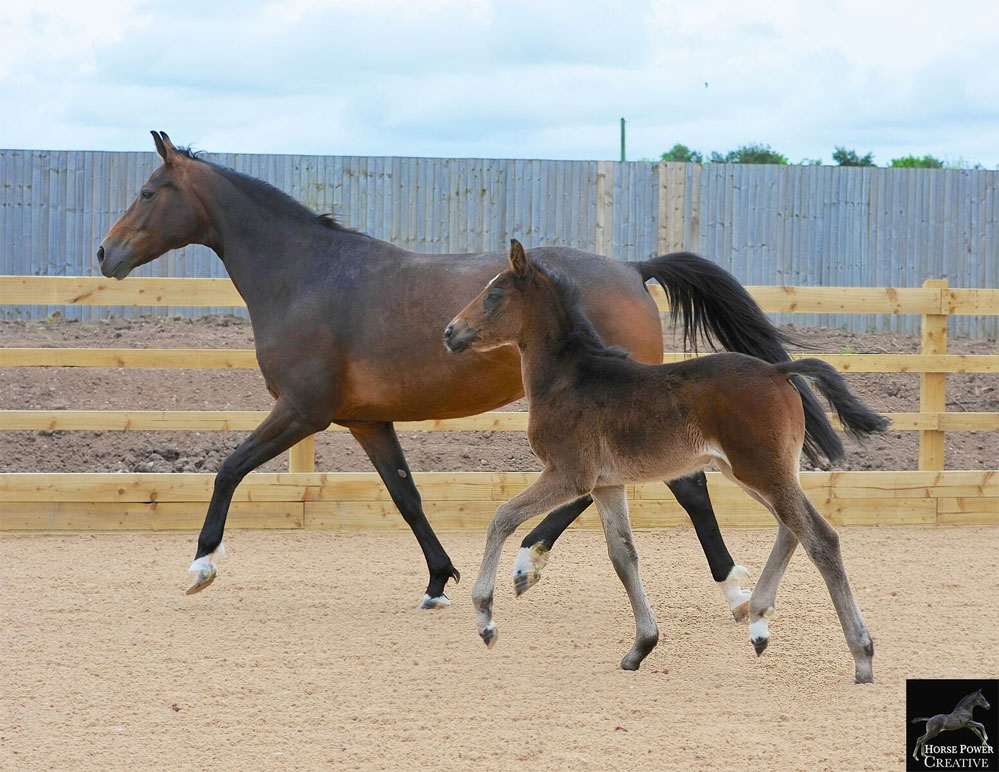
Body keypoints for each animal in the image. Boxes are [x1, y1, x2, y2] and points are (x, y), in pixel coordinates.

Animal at [446, 241, 892, 680]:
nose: (450, 332)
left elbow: (503, 517)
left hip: (761, 471)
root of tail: (778, 372)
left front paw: (485, 618)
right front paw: (641, 647)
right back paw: (758, 620)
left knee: (821, 537)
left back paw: (861, 655)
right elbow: (623, 556)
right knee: (791, 528)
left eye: (494, 294)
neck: (570, 379)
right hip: (749, 472)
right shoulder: (607, 484)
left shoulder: (569, 475)